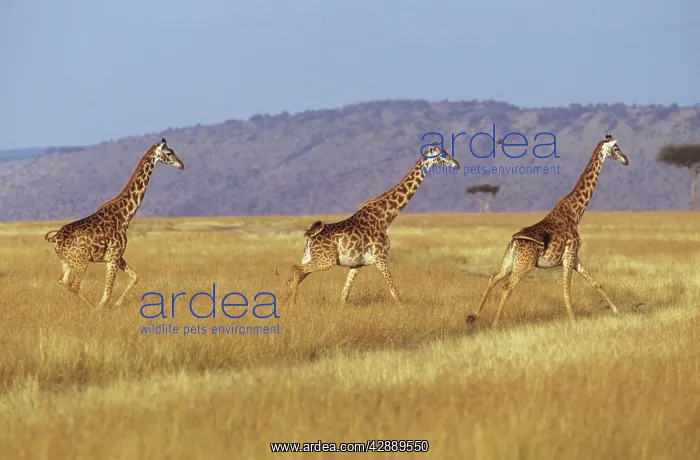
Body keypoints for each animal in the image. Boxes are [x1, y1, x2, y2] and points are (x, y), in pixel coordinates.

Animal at [44, 138, 185, 309]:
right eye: (169, 153)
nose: (182, 165)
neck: (124, 216)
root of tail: (54, 239)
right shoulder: (113, 256)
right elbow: (107, 293)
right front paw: (101, 308)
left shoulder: (118, 256)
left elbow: (135, 277)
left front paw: (117, 304)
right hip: (81, 261)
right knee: (74, 284)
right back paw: (92, 307)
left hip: (66, 262)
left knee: (63, 281)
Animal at [284, 145, 460, 306]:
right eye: (443, 154)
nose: (457, 164)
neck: (385, 218)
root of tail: (310, 236)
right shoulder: (381, 257)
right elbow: (395, 293)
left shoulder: (357, 264)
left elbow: (344, 295)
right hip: (326, 260)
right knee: (296, 269)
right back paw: (292, 304)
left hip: (311, 257)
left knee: (291, 280)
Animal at [466, 134, 629, 327]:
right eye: (616, 148)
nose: (626, 160)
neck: (575, 213)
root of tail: (515, 241)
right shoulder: (569, 256)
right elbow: (567, 292)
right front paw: (573, 323)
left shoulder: (574, 258)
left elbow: (596, 283)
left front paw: (617, 311)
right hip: (525, 264)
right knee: (507, 287)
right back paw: (494, 324)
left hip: (510, 261)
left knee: (493, 278)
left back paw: (473, 316)